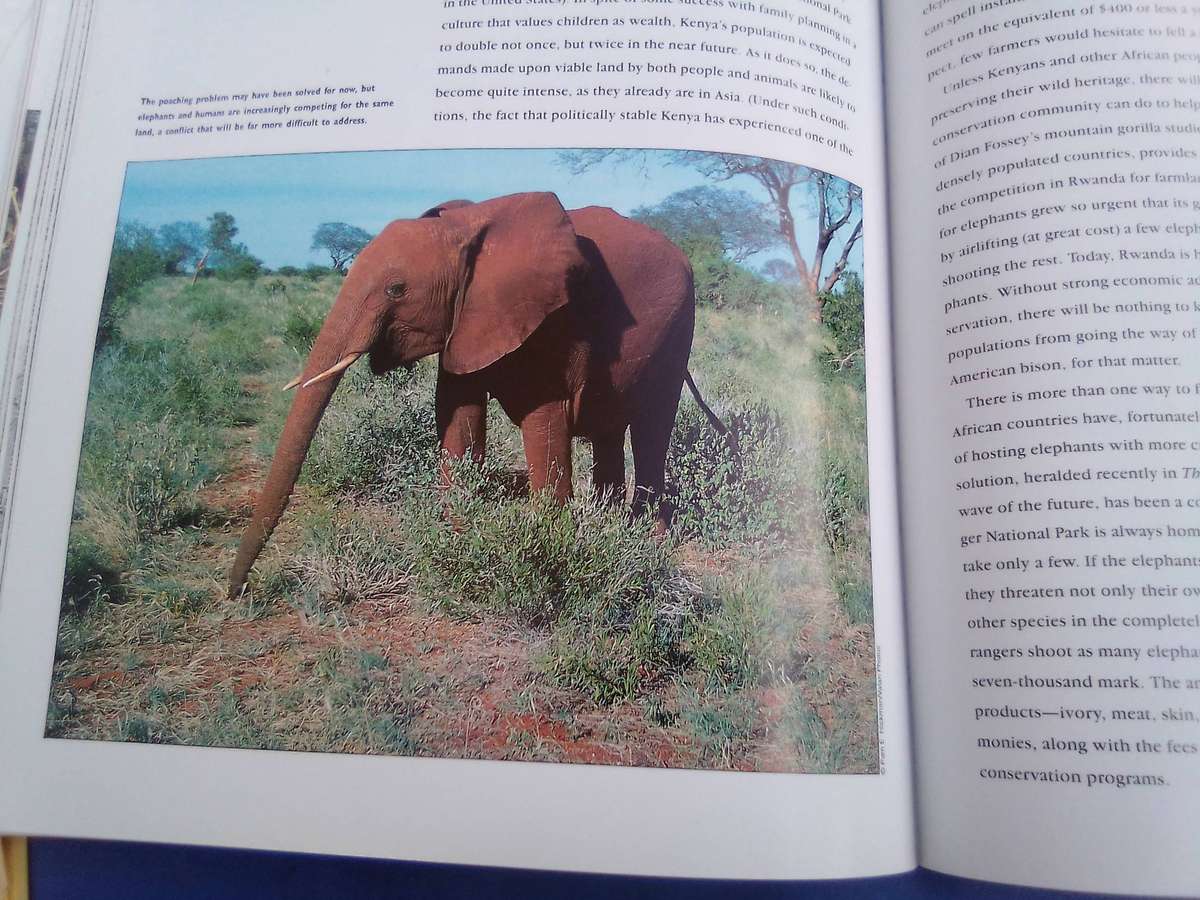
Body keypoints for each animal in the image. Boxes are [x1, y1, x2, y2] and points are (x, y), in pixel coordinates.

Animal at [228, 191, 726, 598]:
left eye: (396, 289)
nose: (237, 592)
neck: (465, 229)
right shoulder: (464, 320)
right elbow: (456, 416)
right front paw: (460, 538)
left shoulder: (556, 321)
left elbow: (544, 422)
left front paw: (550, 546)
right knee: (609, 431)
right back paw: (612, 526)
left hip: (678, 329)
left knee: (651, 430)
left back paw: (648, 541)